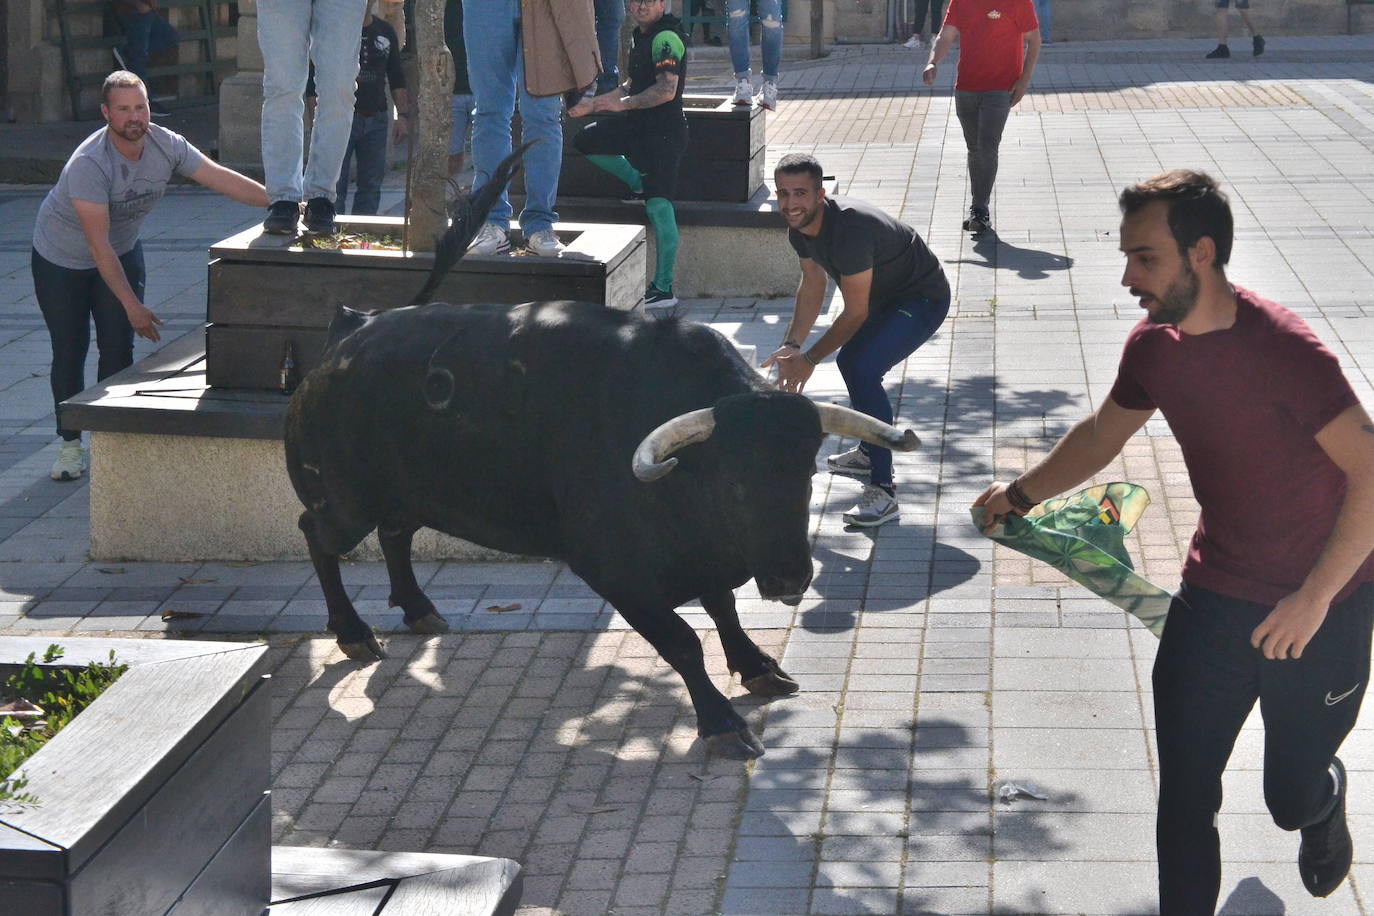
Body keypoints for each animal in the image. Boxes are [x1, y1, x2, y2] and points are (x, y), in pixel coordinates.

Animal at [283, 153, 917, 758]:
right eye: (734, 483)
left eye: (806, 476)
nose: (791, 578)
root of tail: (348, 335)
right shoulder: (615, 573)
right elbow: (684, 642)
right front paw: (721, 723)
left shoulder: (703, 559)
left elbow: (724, 611)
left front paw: (758, 667)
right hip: (343, 500)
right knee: (317, 535)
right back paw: (353, 631)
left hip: (404, 493)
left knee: (395, 535)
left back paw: (418, 609)